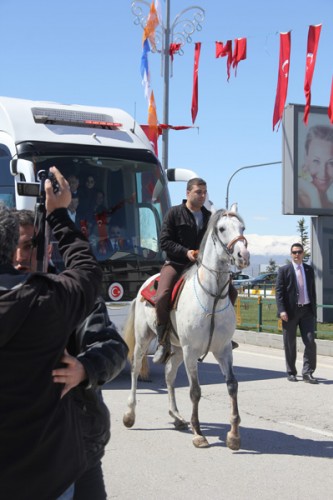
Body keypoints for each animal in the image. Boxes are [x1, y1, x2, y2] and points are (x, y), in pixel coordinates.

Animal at [122, 204, 249, 450]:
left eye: (242, 227)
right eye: (221, 228)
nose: (243, 256)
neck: (212, 296)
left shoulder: (223, 350)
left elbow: (232, 385)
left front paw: (234, 435)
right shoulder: (192, 352)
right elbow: (195, 391)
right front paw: (198, 433)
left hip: (177, 348)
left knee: (169, 376)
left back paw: (177, 416)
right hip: (144, 339)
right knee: (135, 369)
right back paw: (130, 414)